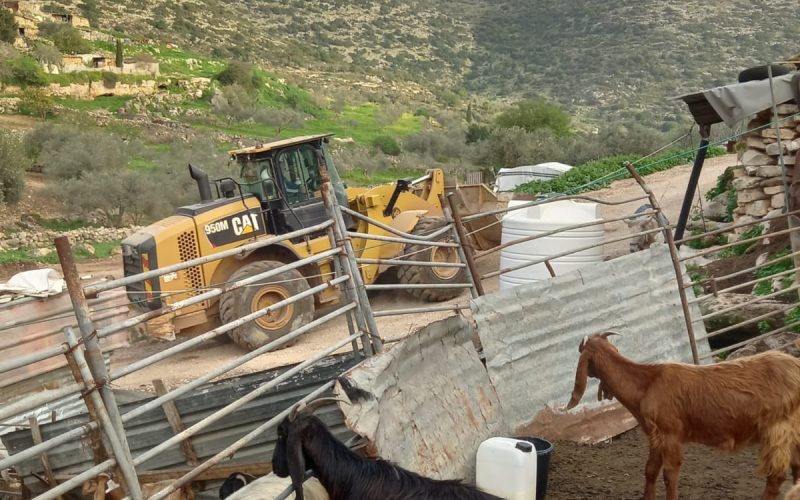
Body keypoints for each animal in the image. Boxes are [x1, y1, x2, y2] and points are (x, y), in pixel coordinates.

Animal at [564, 332, 800, 500]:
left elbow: (670, 475)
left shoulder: (671, 435)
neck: (647, 383)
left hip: (778, 429)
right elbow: (650, 470)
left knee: (776, 476)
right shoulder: (655, 436)